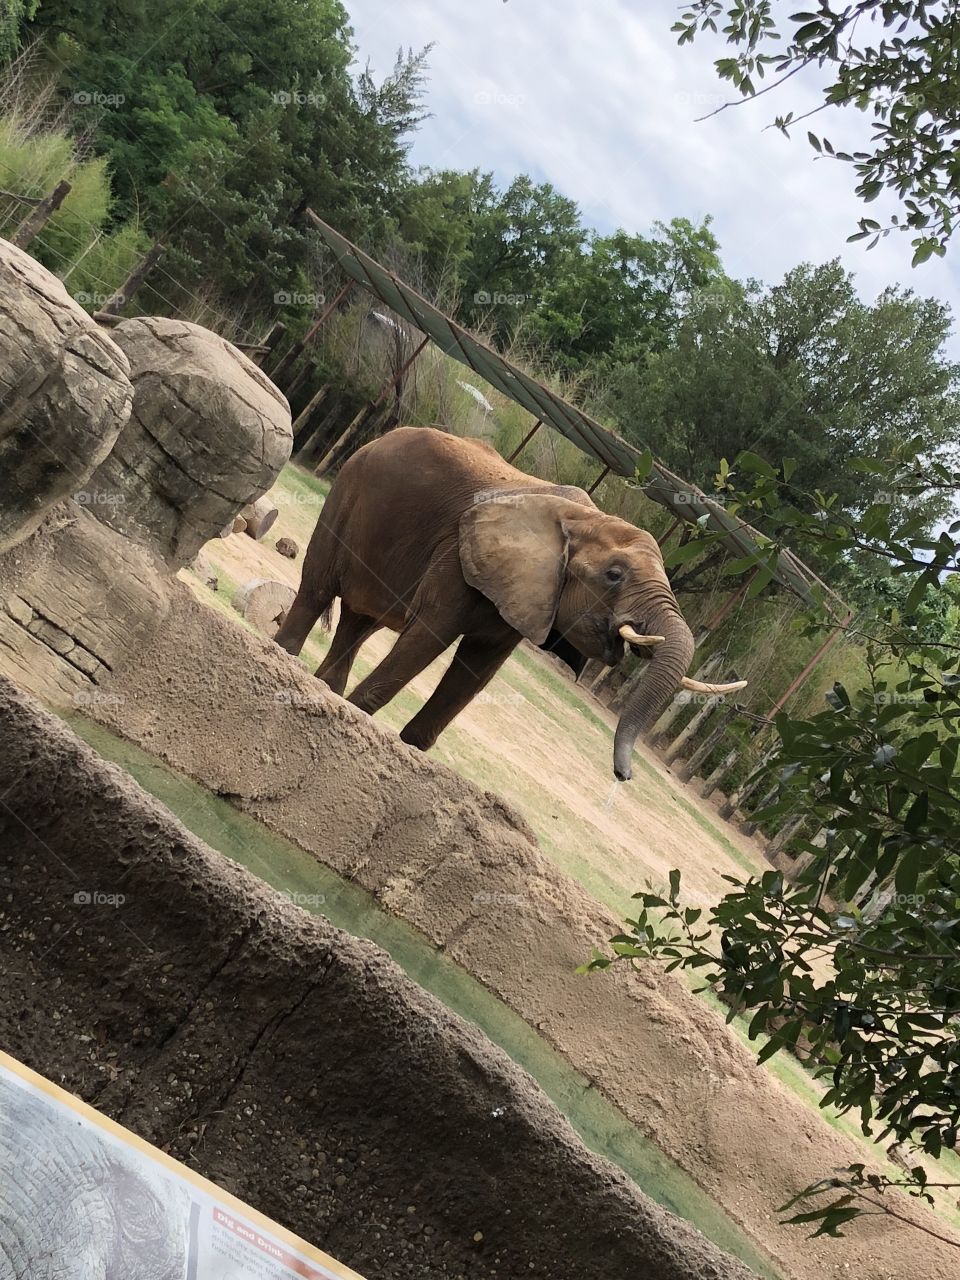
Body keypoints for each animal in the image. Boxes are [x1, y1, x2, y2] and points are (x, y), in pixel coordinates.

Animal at [275, 426, 744, 781]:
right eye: (614, 575)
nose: (623, 776)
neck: (587, 518)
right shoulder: (459, 558)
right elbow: (429, 637)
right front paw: (358, 721)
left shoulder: (528, 596)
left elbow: (478, 669)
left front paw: (409, 751)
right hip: (348, 491)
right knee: (317, 590)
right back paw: (288, 660)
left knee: (361, 621)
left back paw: (325, 687)